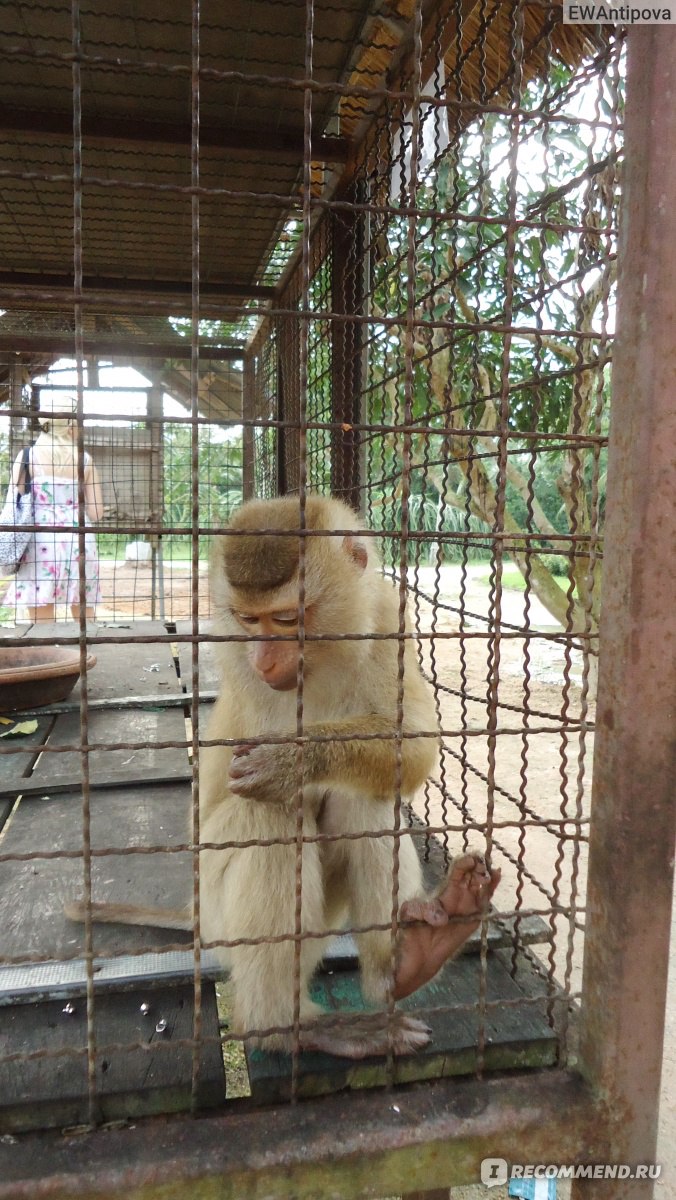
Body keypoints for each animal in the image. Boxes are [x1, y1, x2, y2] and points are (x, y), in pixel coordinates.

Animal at [67, 496, 501, 1060]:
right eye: (248, 619)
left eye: (287, 618)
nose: (264, 658)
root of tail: (195, 913)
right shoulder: (241, 665)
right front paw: (286, 766)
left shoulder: (386, 617)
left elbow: (415, 743)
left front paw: (293, 761)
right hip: (219, 910)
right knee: (267, 816)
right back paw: (283, 1027)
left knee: (361, 799)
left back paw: (408, 960)